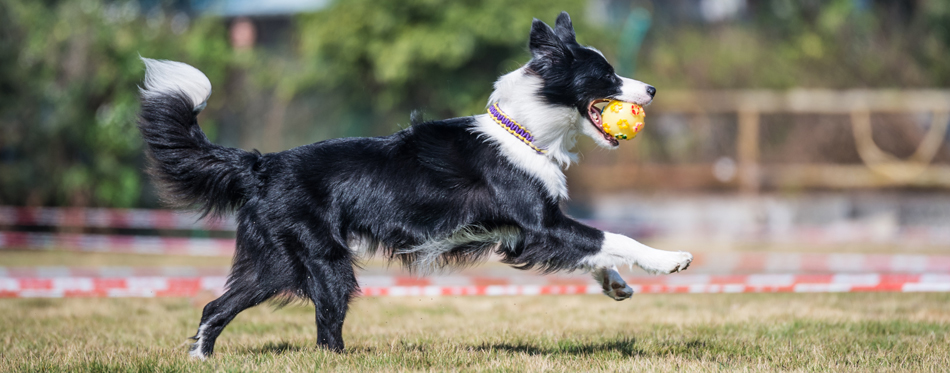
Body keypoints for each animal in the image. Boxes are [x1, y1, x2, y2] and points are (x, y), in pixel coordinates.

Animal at [138, 11, 696, 358]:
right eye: (607, 75)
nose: (651, 89)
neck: (525, 130)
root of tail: (262, 164)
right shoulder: (538, 222)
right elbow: (611, 236)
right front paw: (670, 260)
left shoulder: (523, 235)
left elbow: (597, 248)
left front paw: (616, 284)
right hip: (322, 257)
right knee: (325, 326)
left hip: (274, 260)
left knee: (217, 305)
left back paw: (200, 356)